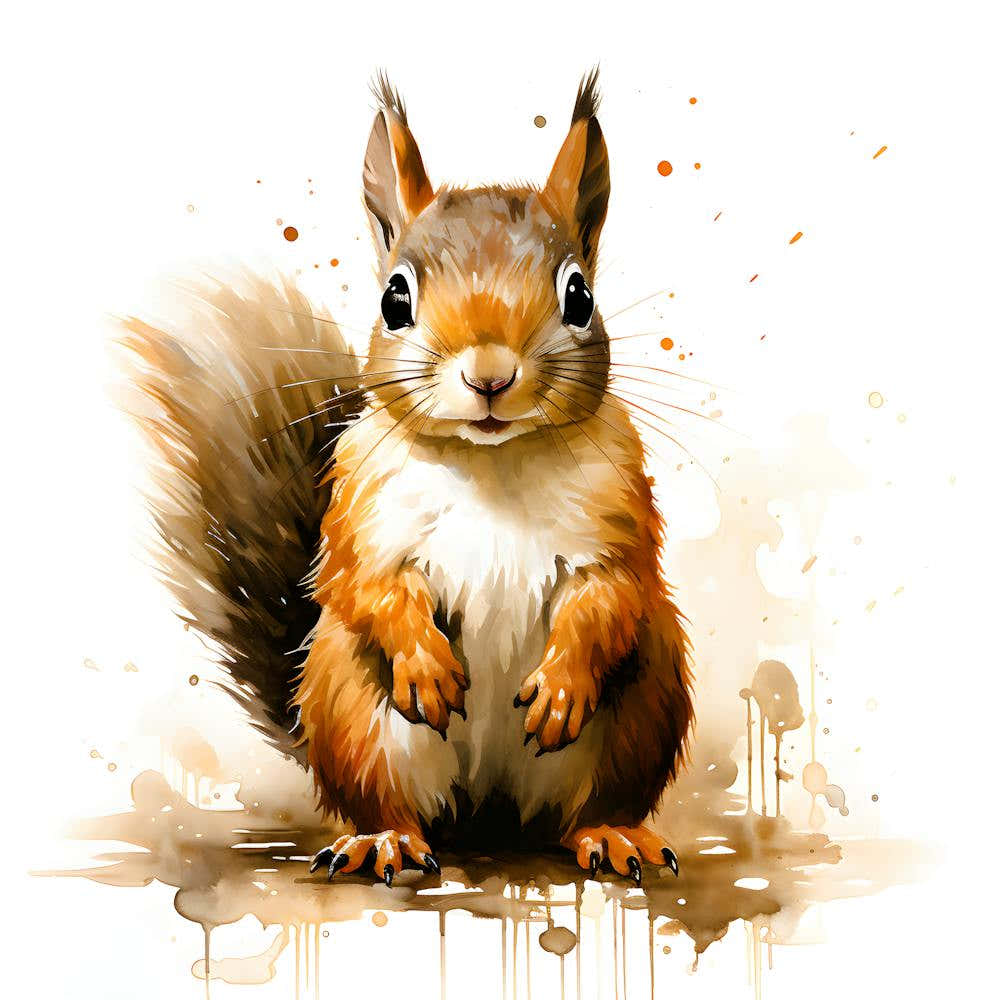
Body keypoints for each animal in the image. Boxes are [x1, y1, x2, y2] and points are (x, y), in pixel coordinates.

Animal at [124, 69, 694, 887]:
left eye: (580, 296)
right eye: (395, 299)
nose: (490, 374)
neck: (491, 462)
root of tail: (491, 816)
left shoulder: (617, 518)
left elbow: (610, 595)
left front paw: (562, 684)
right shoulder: (362, 515)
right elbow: (369, 587)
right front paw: (425, 666)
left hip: (644, 703)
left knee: (586, 806)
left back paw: (613, 833)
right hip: (355, 713)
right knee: (389, 800)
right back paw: (382, 841)